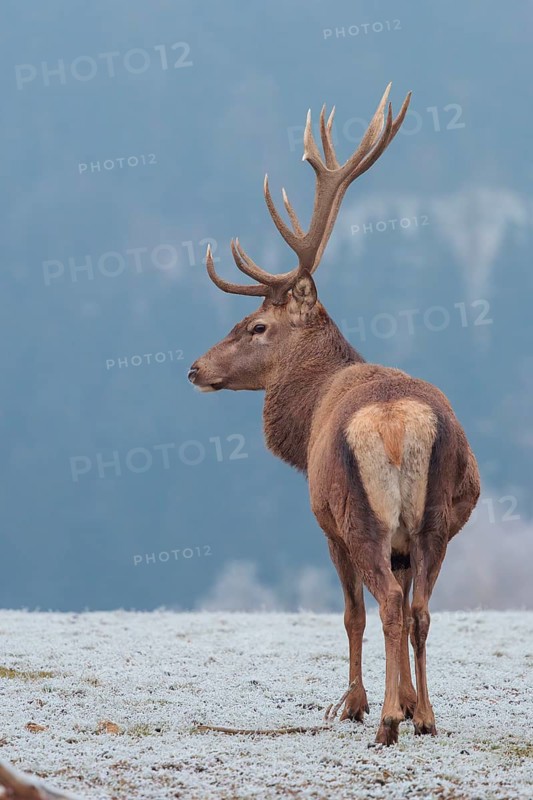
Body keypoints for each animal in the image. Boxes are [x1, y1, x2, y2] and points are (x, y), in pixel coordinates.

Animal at [188, 84, 480, 746]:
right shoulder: (408, 537)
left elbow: (351, 615)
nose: (195, 368)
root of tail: (399, 425)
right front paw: (406, 704)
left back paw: (389, 721)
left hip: (361, 515)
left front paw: (356, 704)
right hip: (436, 519)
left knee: (389, 603)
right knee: (419, 606)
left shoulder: (325, 525)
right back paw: (426, 716)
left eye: (256, 326)